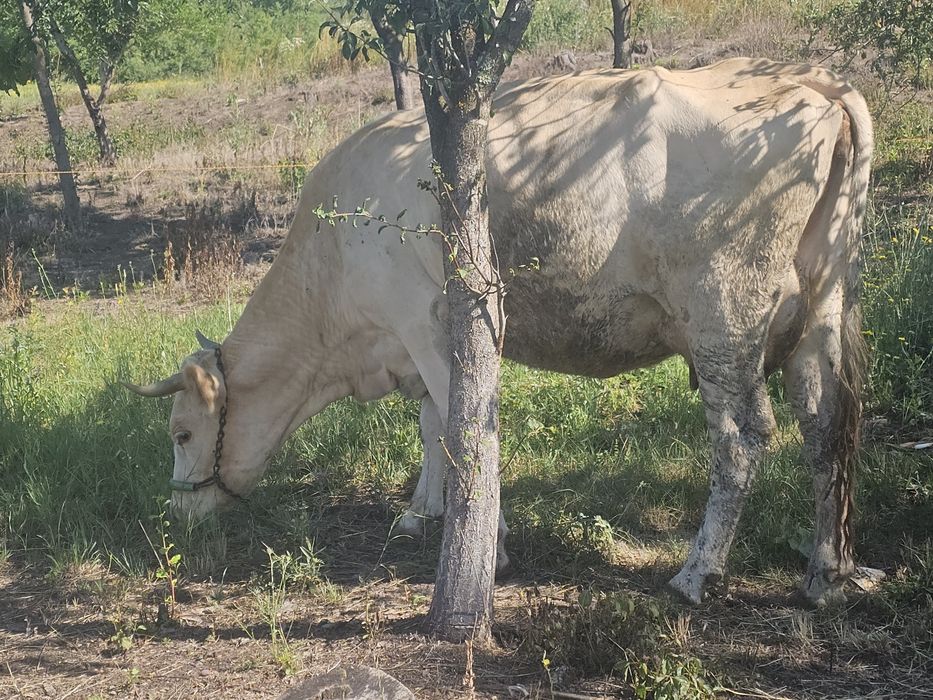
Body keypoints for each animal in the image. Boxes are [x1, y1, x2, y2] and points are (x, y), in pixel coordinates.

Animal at [126, 58, 873, 606]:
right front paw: (421, 513)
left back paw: (696, 574)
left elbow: (461, 424)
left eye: (182, 434)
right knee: (825, 422)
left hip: (723, 318)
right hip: (819, 308)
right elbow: (433, 422)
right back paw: (826, 573)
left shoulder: (424, 321)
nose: (177, 515)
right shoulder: (412, 338)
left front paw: (491, 545)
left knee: (742, 438)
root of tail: (809, 83)